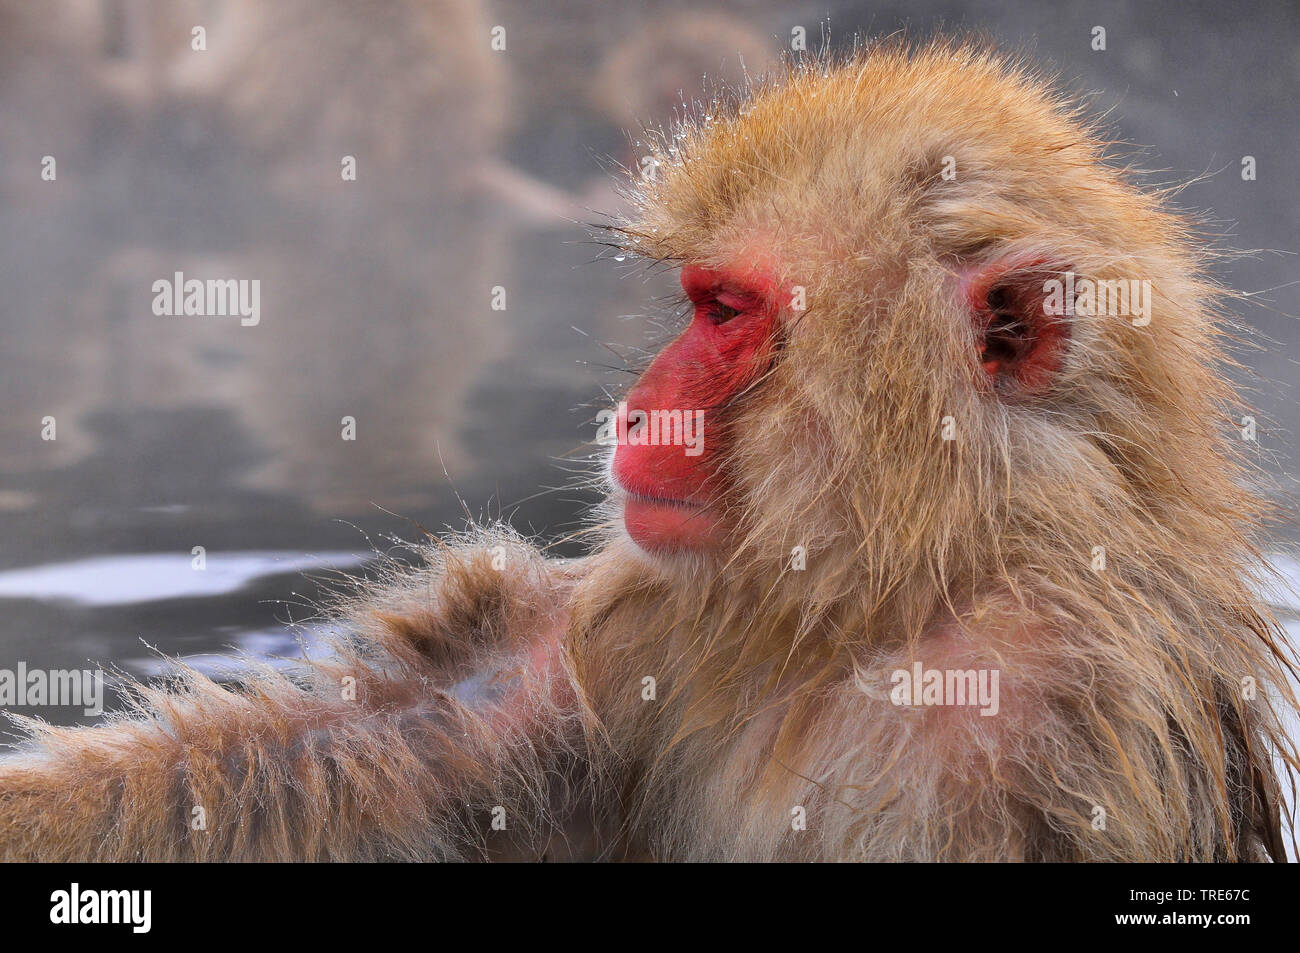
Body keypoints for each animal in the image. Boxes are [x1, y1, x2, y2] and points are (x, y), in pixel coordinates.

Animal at [1, 37, 1297, 862]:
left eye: (724, 312)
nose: (633, 412)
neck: (904, 596)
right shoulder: (657, 616)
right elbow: (421, 724)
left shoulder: (1038, 712)